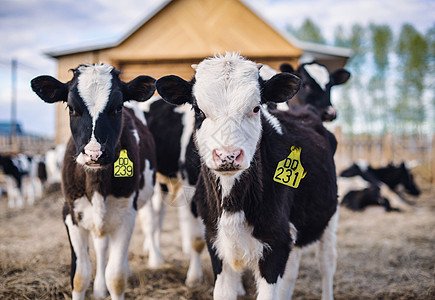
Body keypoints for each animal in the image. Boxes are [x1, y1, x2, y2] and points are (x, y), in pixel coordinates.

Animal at [31, 63, 160, 300]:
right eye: (72, 108)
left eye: (118, 108)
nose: (94, 154)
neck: (96, 183)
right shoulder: (70, 213)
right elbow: (79, 276)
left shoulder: (127, 214)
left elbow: (116, 277)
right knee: (101, 246)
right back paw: (99, 289)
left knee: (148, 225)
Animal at [157, 53, 340, 300]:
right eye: (198, 110)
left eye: (255, 108)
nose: (228, 155)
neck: (232, 206)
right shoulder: (217, 245)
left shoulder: (276, 246)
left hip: (329, 216)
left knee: (326, 263)